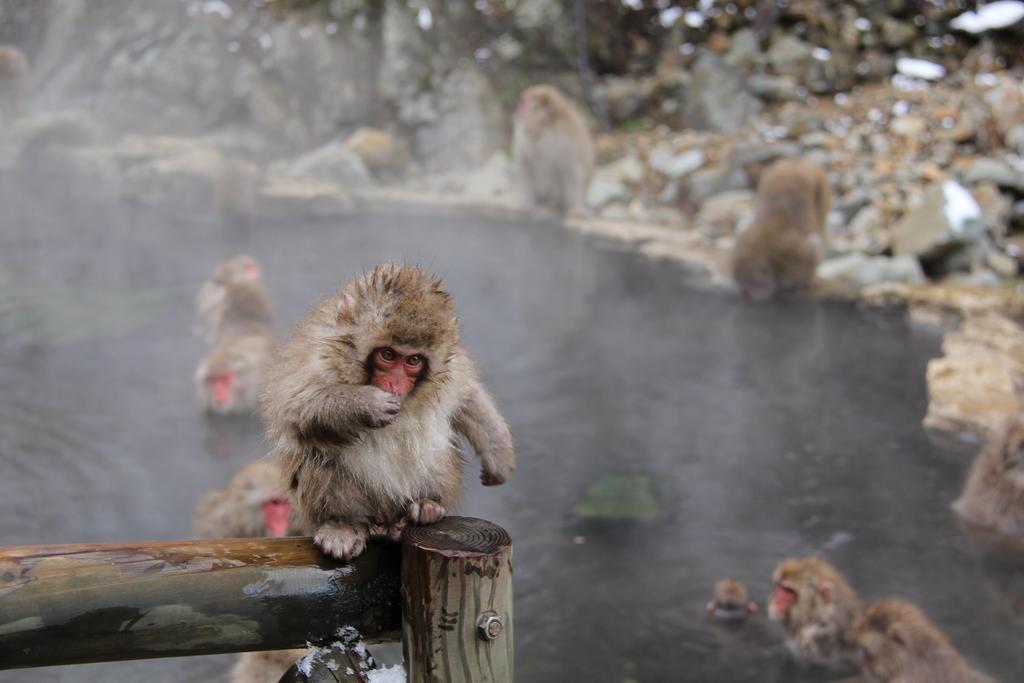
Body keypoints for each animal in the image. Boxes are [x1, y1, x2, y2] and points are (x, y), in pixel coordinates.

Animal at [260, 264, 516, 561]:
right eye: (388, 355)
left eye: (413, 360)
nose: (394, 384)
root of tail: (384, 518)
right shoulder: (319, 354)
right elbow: (296, 408)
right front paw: (366, 404)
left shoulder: (453, 369)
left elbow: (467, 396)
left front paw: (498, 455)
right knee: (318, 450)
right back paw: (342, 523)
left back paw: (427, 507)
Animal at [512, 83, 598, 215]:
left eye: (524, 103)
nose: (517, 109)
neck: (543, 127)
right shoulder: (524, 140)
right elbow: (526, 167)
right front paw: (526, 204)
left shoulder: (565, 143)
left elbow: (571, 171)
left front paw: (576, 208)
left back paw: (553, 204)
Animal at [729, 158, 831, 301]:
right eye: (738, 280)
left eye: (755, 279)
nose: (745, 293)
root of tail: (796, 162)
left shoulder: (797, 254)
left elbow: (814, 247)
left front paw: (808, 282)